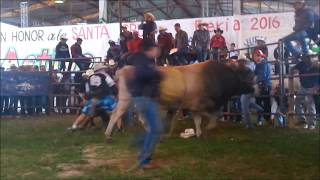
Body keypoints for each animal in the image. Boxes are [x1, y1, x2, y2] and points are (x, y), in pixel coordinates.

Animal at [104, 60, 254, 138]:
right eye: (245, 74)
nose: (253, 88)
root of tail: (124, 69)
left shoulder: (194, 106)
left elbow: (198, 119)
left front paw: (199, 133)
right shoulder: (201, 104)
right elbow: (212, 115)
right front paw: (210, 126)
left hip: (135, 101)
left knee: (134, 116)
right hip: (127, 99)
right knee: (116, 113)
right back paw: (108, 134)